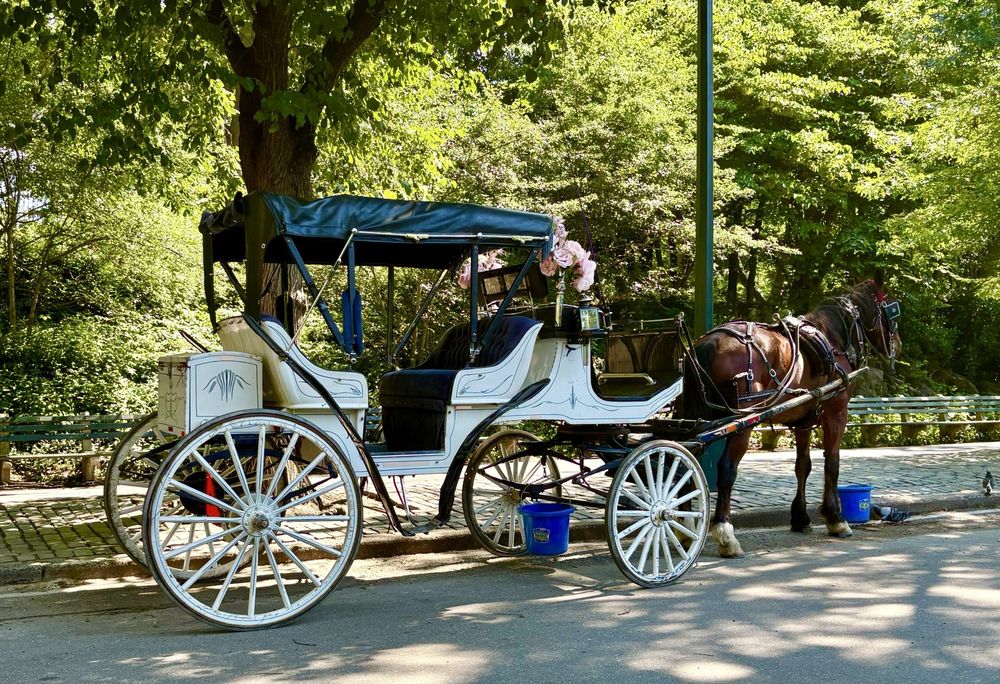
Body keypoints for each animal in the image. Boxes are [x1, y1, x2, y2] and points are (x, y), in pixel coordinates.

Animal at [679, 275, 902, 557]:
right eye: (892, 310)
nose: (899, 345)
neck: (832, 340)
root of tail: (710, 342)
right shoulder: (836, 412)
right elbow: (832, 463)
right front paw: (836, 518)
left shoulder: (804, 420)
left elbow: (802, 466)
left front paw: (800, 517)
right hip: (740, 424)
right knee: (725, 469)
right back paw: (725, 534)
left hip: (694, 419)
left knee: (681, 465)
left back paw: (684, 530)